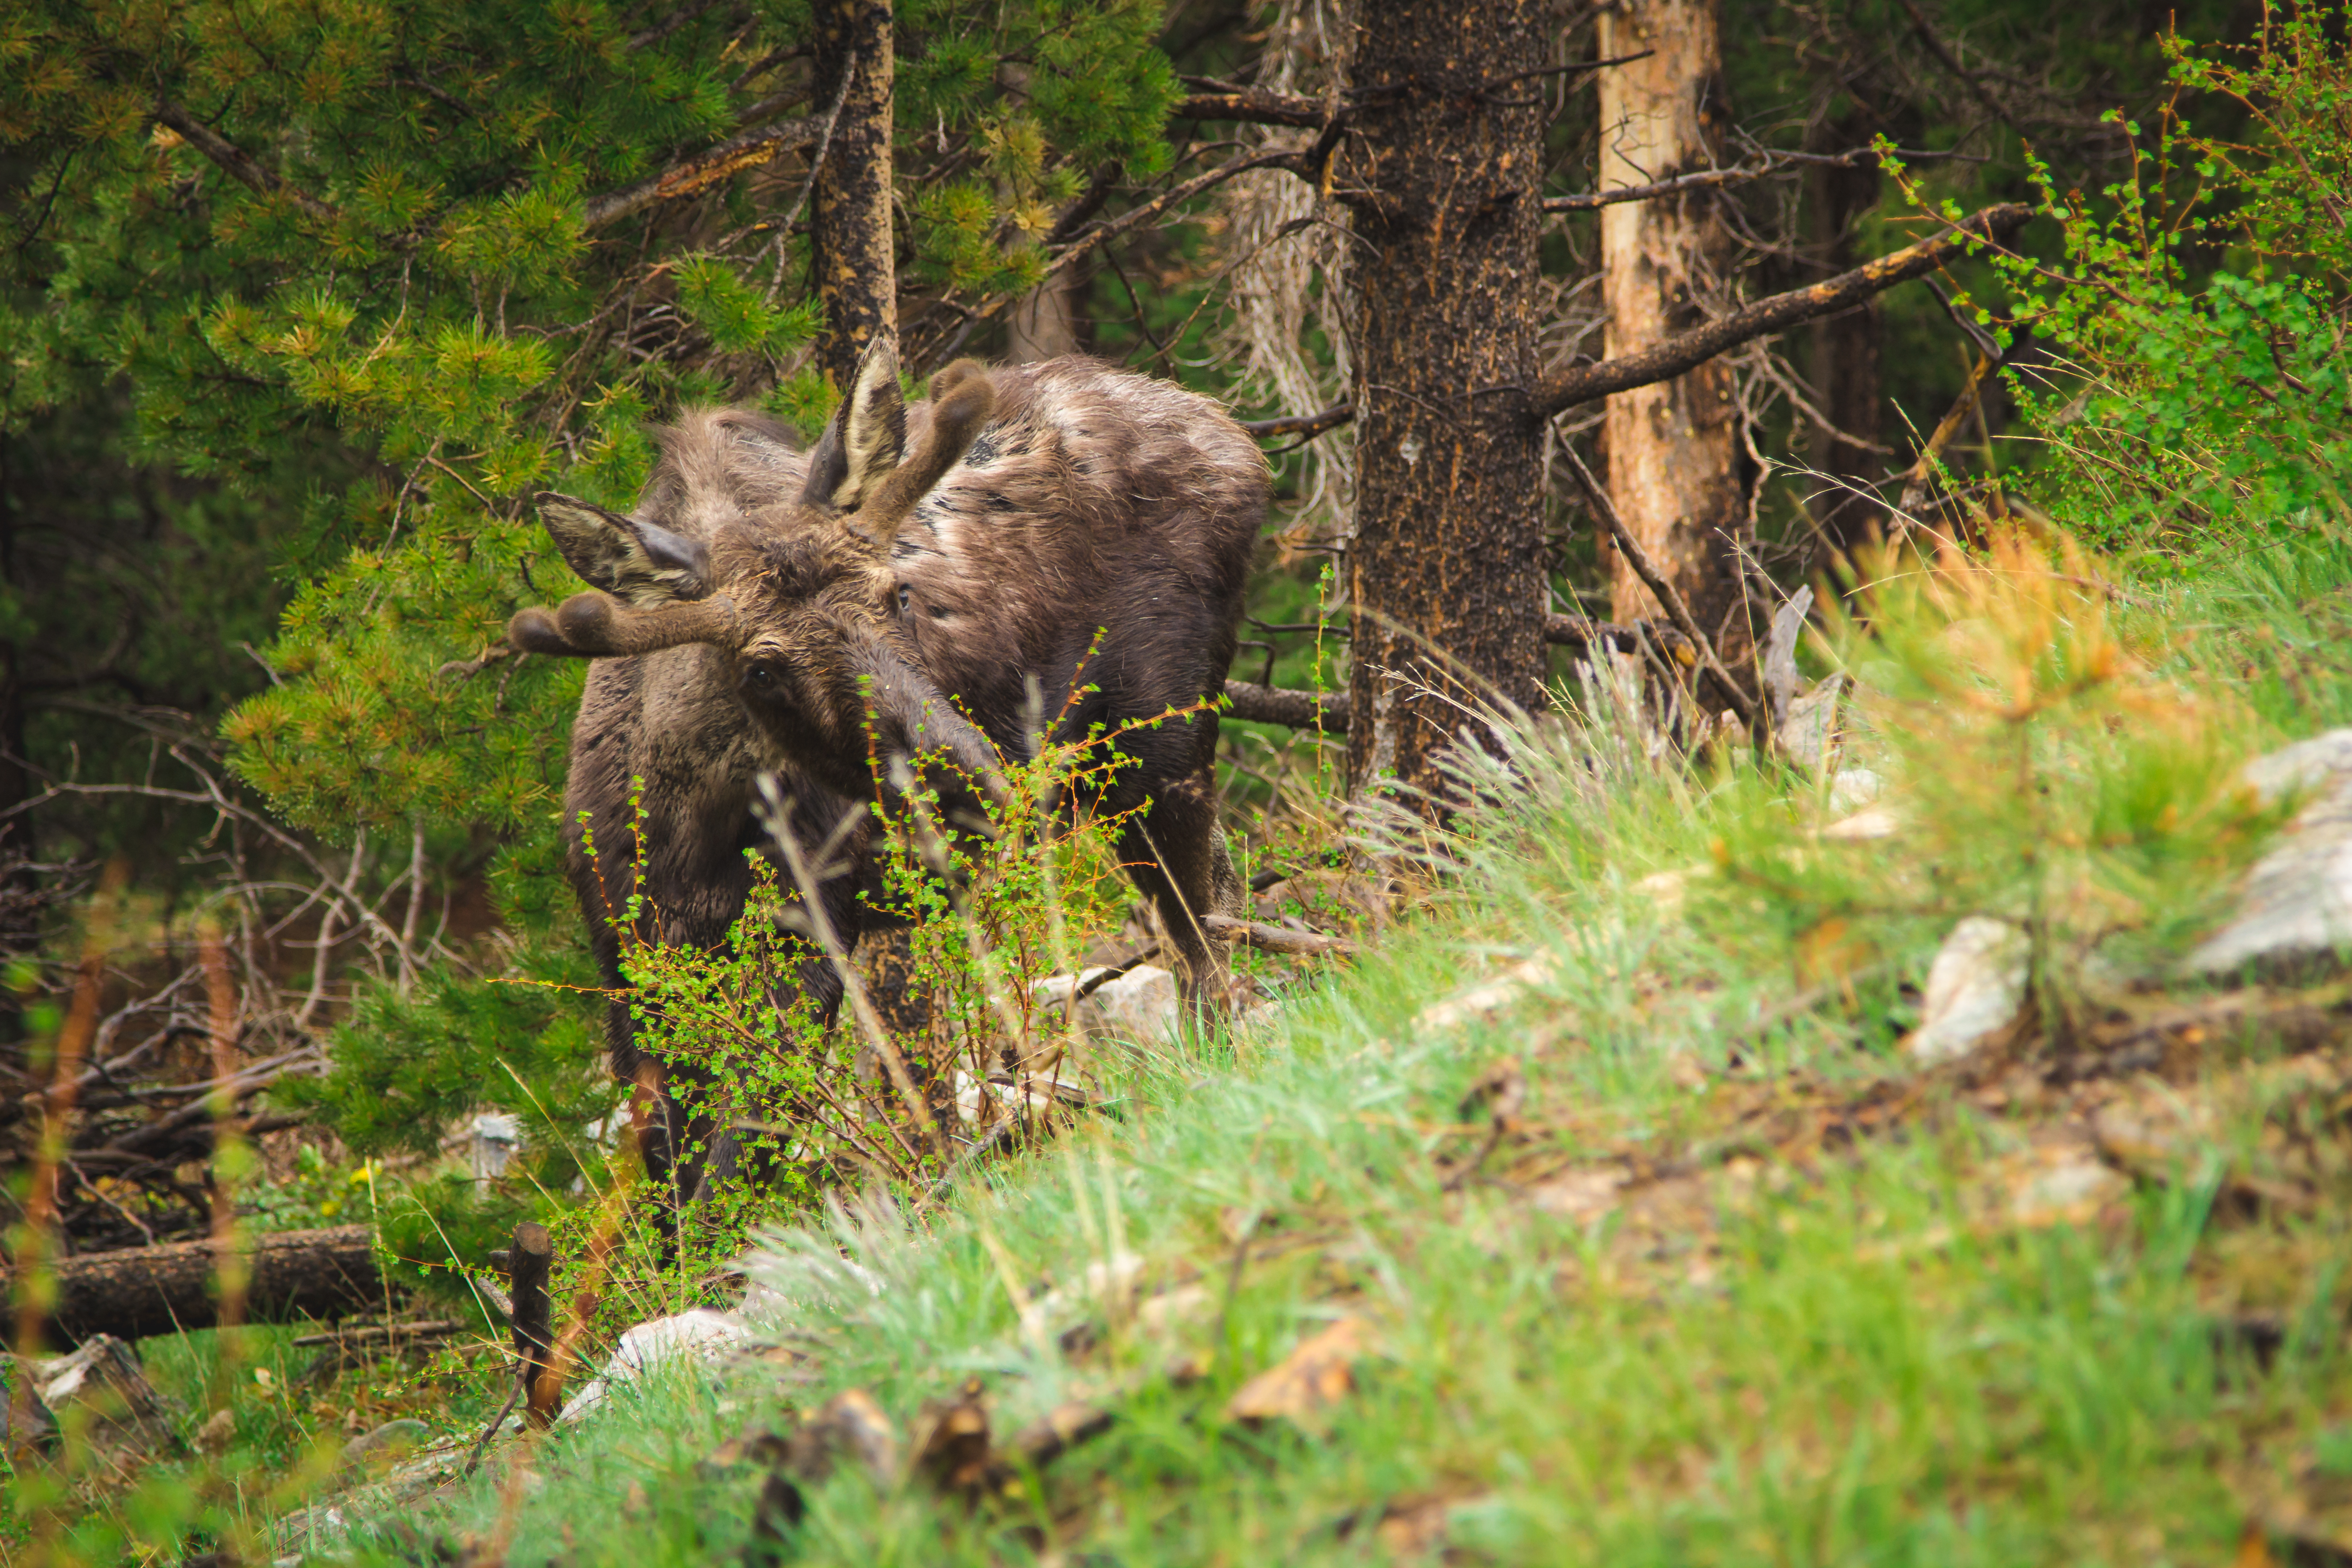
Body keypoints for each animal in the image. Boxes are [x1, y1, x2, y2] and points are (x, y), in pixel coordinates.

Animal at [510, 338, 1270, 1213]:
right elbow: (679, 1188)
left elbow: (742, 1168)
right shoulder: (635, 979)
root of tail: (1231, 434)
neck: (687, 840)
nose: (971, 782)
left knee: (1196, 939)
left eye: (899, 593)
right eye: (763, 668)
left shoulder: (822, 929)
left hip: (1160, 745)